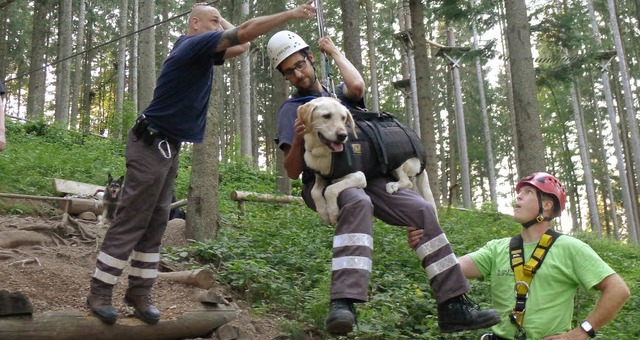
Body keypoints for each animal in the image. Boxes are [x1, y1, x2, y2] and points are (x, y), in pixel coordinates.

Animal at [298, 97, 438, 224]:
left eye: (343, 118)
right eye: (326, 116)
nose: (343, 136)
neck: (321, 151)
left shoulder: (360, 176)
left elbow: (330, 190)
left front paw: (332, 212)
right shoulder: (320, 177)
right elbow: (314, 192)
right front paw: (323, 212)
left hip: (398, 162)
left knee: (407, 182)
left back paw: (393, 185)